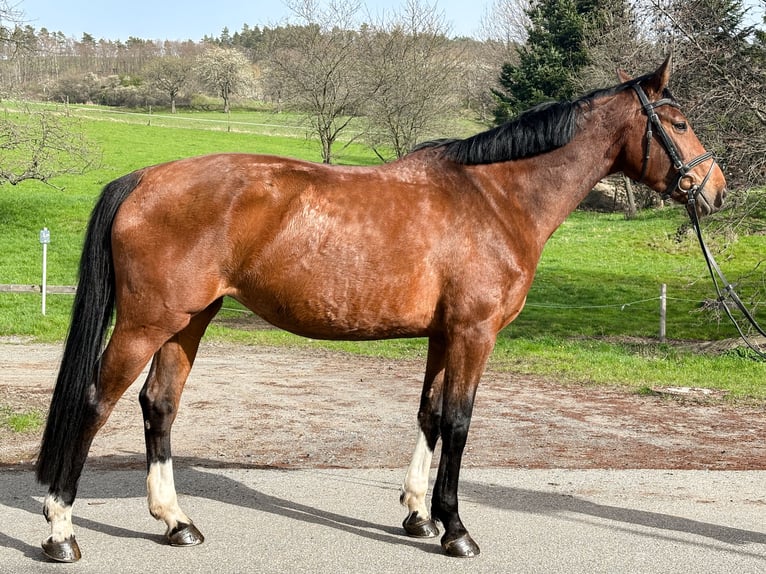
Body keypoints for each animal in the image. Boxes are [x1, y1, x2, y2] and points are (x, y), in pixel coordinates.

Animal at [34, 56, 728, 564]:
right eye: (679, 122)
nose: (716, 189)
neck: (494, 197)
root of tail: (146, 178)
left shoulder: (443, 335)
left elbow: (429, 414)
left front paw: (418, 515)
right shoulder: (474, 334)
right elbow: (459, 423)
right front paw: (455, 529)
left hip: (188, 322)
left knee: (160, 406)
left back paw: (176, 522)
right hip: (146, 323)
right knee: (94, 403)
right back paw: (61, 530)